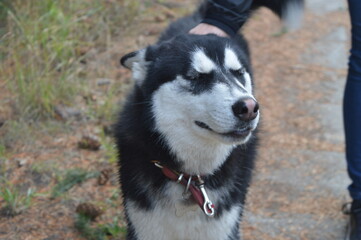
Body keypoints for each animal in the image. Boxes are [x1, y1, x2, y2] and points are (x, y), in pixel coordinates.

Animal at [114, 0, 300, 239]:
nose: (249, 108)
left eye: (238, 72)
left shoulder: (222, 227)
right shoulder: (146, 226)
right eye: (196, 77)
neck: (191, 177)